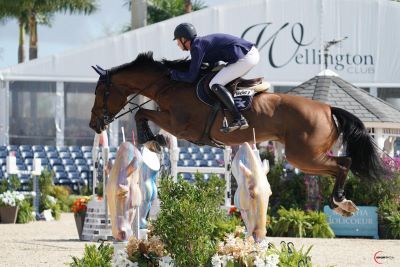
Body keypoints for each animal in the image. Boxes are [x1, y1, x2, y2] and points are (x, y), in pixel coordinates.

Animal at [89, 51, 386, 218]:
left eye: (99, 92)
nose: (94, 124)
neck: (169, 85)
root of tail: (327, 108)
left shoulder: (179, 124)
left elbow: (142, 114)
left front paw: (154, 139)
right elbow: (143, 115)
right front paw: (154, 140)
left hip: (303, 156)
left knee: (343, 164)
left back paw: (340, 202)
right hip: (306, 157)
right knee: (342, 164)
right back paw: (343, 203)